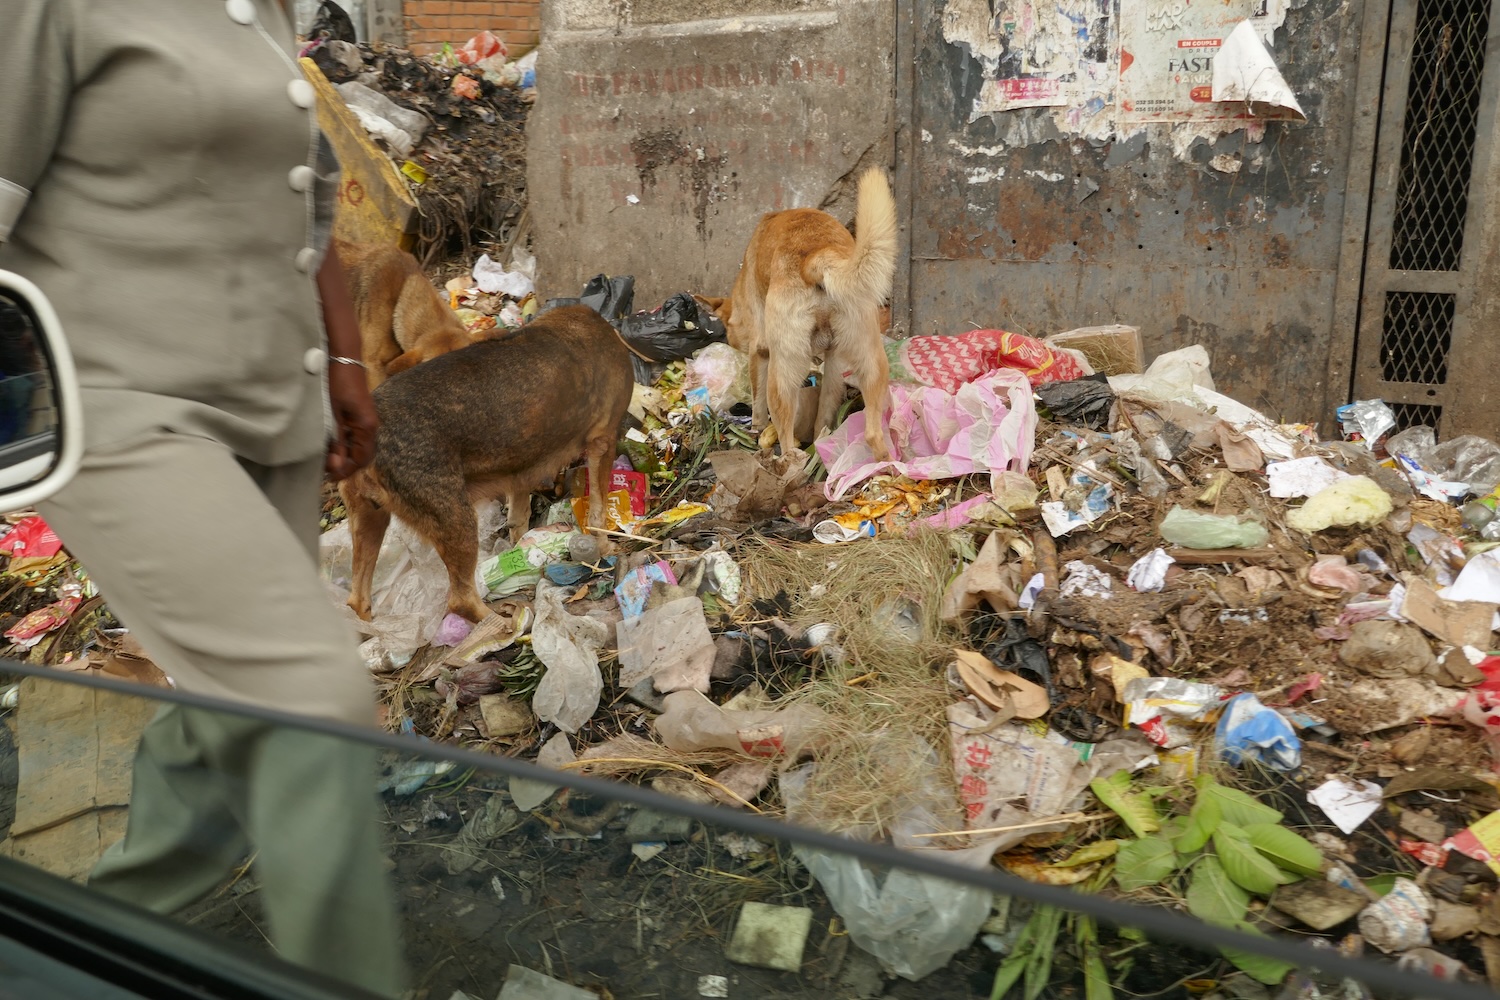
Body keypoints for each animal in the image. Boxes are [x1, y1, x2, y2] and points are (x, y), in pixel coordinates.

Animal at [342, 305, 633, 620]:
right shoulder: (603, 441)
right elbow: (598, 513)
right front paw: (604, 547)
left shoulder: (521, 464)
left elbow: (519, 517)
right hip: (457, 522)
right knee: (461, 600)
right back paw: (504, 623)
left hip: (370, 519)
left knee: (358, 599)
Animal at [720, 169, 894, 461]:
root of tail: (816, 258)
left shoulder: (760, 350)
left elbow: (757, 402)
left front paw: (756, 429)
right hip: (866, 363)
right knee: (864, 431)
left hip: (782, 377)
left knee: (786, 434)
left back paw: (787, 460)